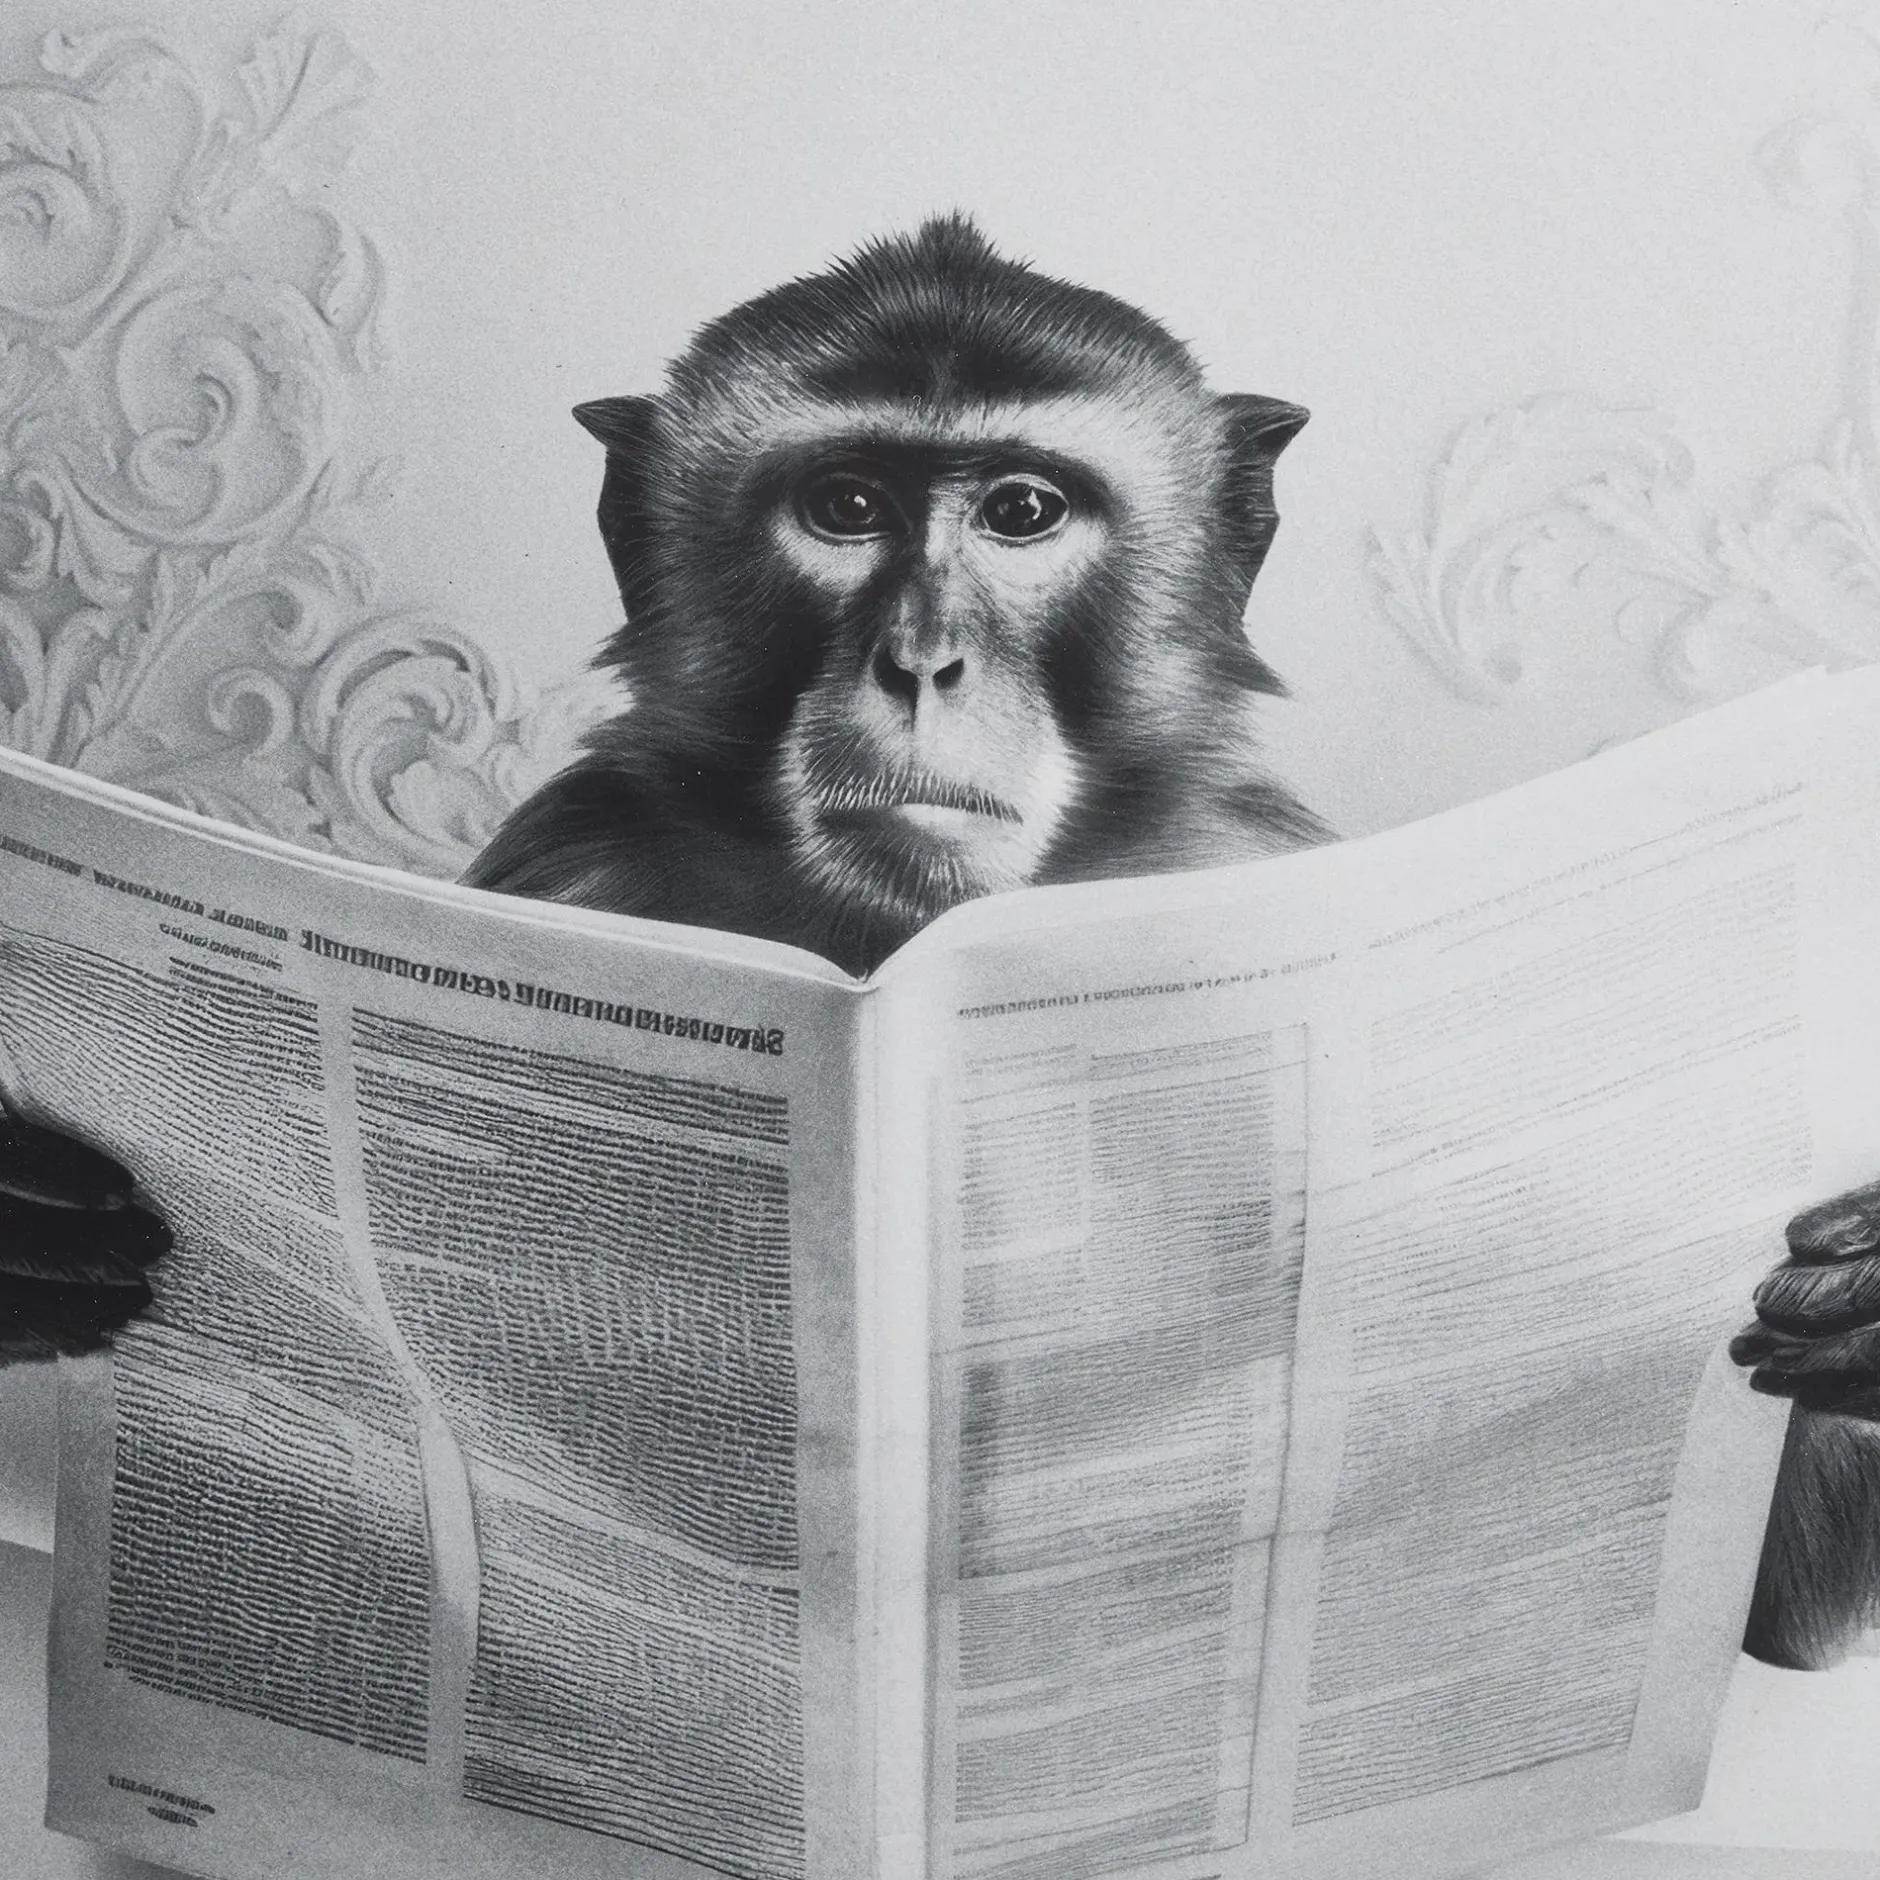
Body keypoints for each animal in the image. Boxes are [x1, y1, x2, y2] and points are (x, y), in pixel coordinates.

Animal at [5, 215, 1880, 1680]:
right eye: (843, 503)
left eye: (1023, 511)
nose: (920, 660)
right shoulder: (577, 866)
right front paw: (29, 1231)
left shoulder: (1247, 869)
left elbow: (1764, 1632)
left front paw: (1859, 1307)